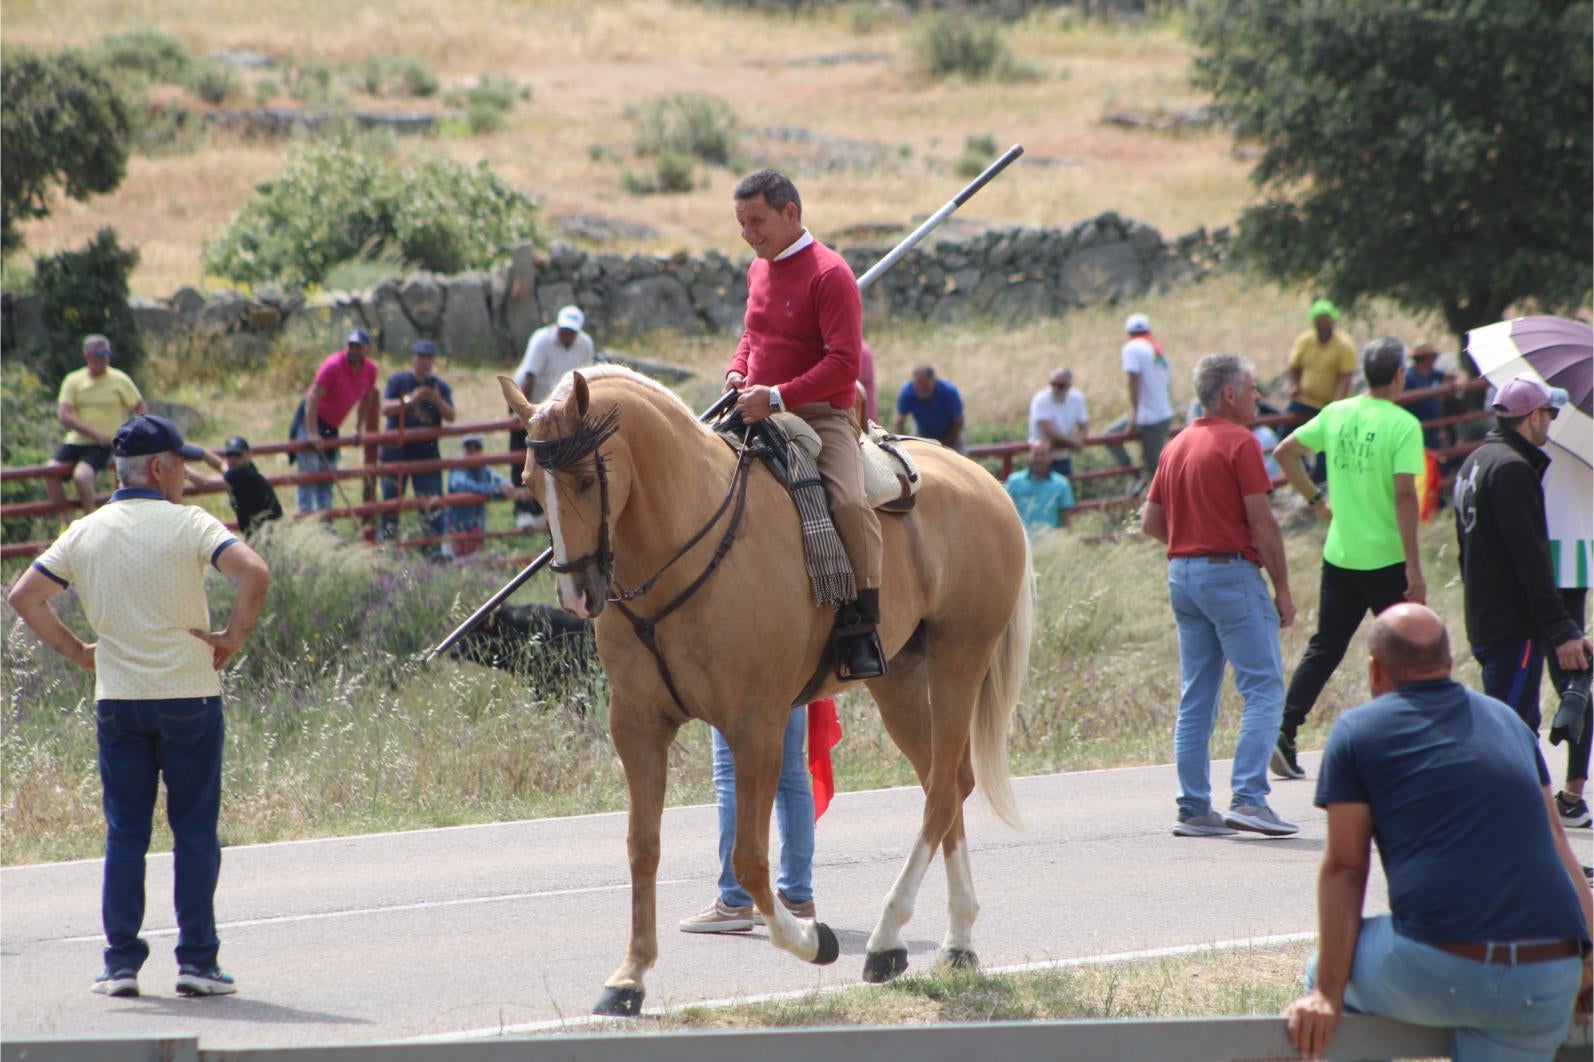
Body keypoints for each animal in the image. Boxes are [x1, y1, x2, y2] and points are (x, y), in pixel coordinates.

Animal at [497, 368, 1039, 1014]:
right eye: (530, 484)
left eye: (584, 478)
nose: (577, 596)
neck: (687, 550)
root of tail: (986, 483)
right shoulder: (637, 727)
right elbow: (642, 846)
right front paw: (629, 978)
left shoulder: (756, 725)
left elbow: (751, 859)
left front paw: (811, 940)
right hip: (900, 683)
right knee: (948, 783)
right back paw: (957, 942)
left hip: (959, 662)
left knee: (938, 796)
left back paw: (886, 938)